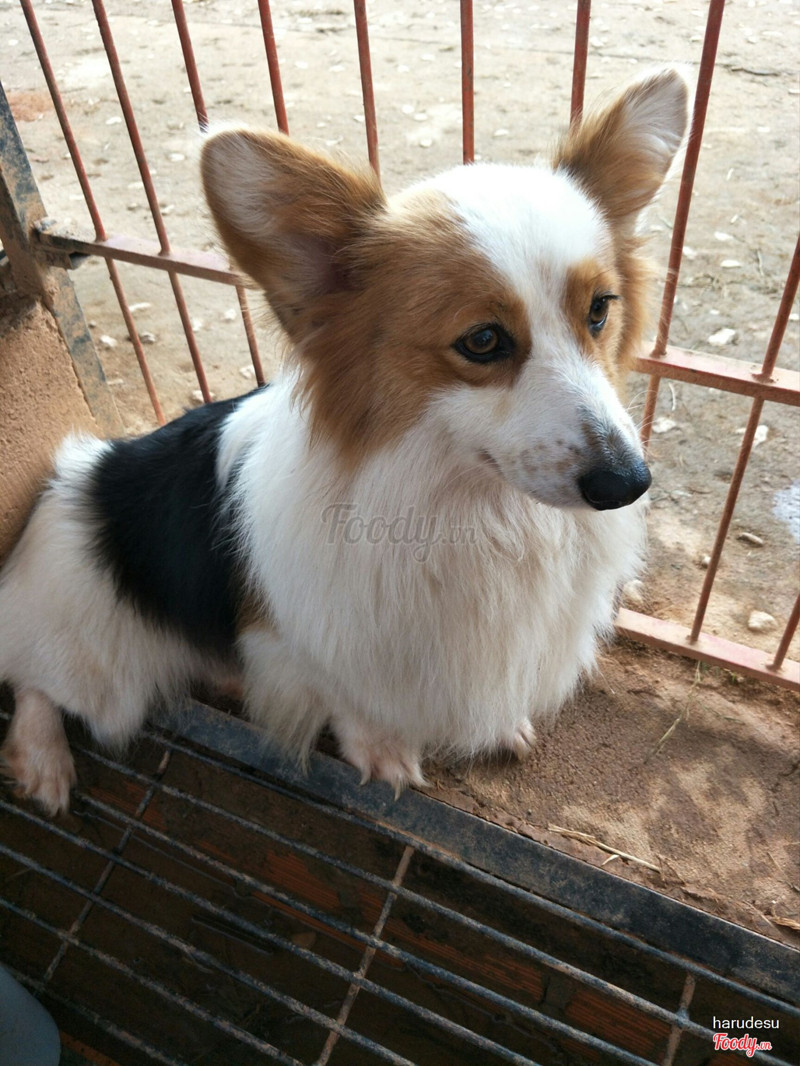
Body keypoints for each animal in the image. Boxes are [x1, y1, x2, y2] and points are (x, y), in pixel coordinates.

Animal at [0, 69, 688, 813]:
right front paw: (381, 752)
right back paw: (43, 759)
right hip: (101, 673)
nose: (628, 484)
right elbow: (350, 701)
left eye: (600, 310)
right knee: (34, 682)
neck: (470, 507)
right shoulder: (316, 641)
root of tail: (71, 482)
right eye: (482, 340)